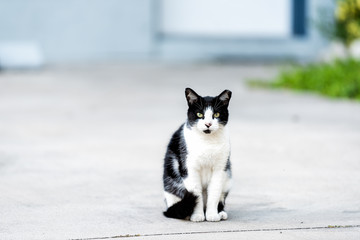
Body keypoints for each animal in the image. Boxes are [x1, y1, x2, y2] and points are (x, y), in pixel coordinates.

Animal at [162, 88, 232, 221]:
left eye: (216, 115)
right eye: (200, 114)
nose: (208, 124)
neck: (207, 142)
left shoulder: (220, 169)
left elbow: (214, 193)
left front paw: (212, 215)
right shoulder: (189, 168)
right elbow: (196, 194)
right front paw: (198, 216)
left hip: (227, 178)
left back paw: (221, 212)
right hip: (170, 182)